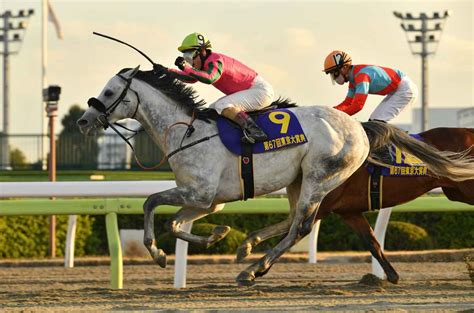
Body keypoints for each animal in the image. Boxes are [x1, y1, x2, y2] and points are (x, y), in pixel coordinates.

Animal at [237, 127, 474, 282]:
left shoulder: (322, 203)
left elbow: (292, 231)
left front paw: (255, 268)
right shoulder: (349, 212)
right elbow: (372, 242)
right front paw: (391, 275)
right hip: (456, 191)